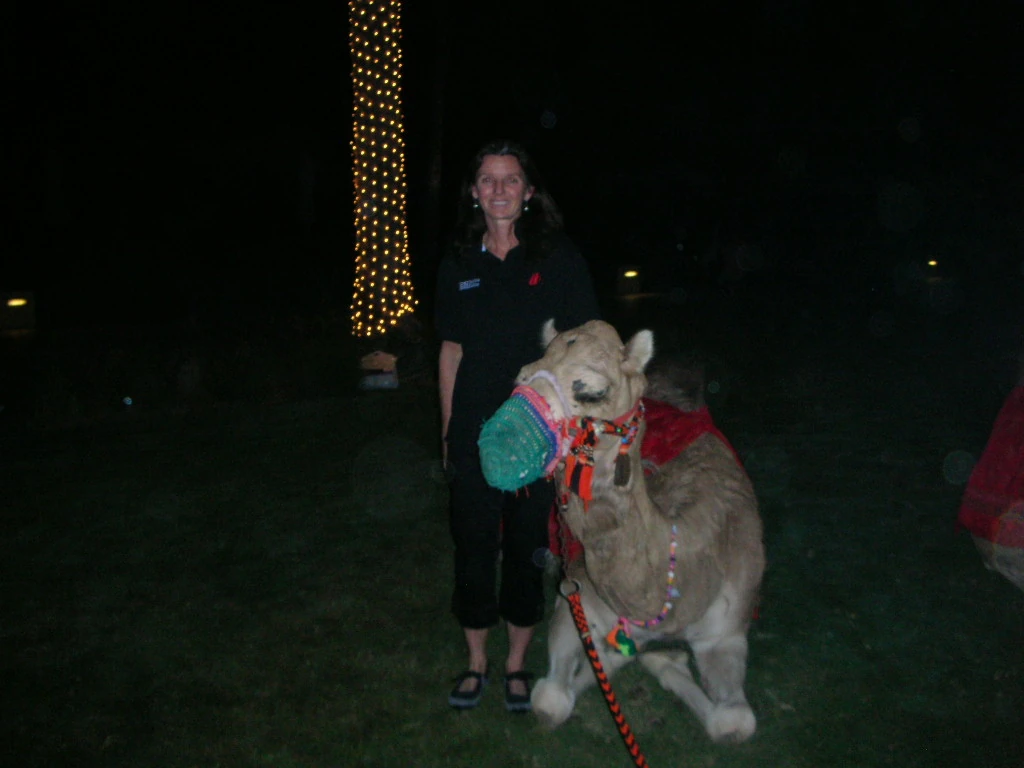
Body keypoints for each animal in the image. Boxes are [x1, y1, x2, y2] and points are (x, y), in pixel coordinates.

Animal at [478, 319, 765, 742]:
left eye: (592, 390)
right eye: (521, 378)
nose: (499, 447)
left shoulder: (725, 632)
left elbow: (734, 723)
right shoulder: (577, 598)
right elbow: (551, 701)